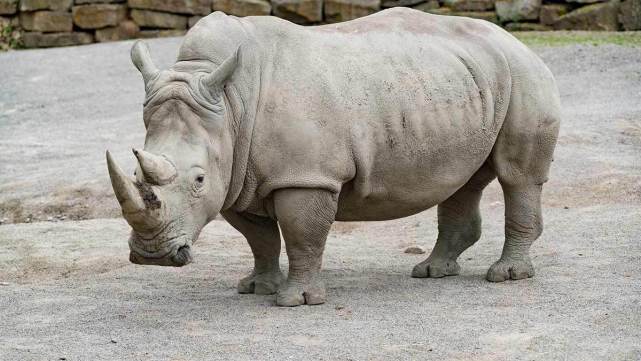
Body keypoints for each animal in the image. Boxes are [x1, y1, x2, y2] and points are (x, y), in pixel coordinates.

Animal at [106, 7, 560, 306]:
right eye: (134, 174)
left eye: (198, 179)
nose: (152, 257)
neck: (231, 105)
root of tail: (514, 40)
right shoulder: (238, 176)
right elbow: (258, 237)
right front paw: (256, 287)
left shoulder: (305, 175)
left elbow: (302, 234)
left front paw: (296, 300)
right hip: (463, 82)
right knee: (463, 178)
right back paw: (432, 271)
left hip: (523, 74)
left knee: (517, 176)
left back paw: (505, 276)